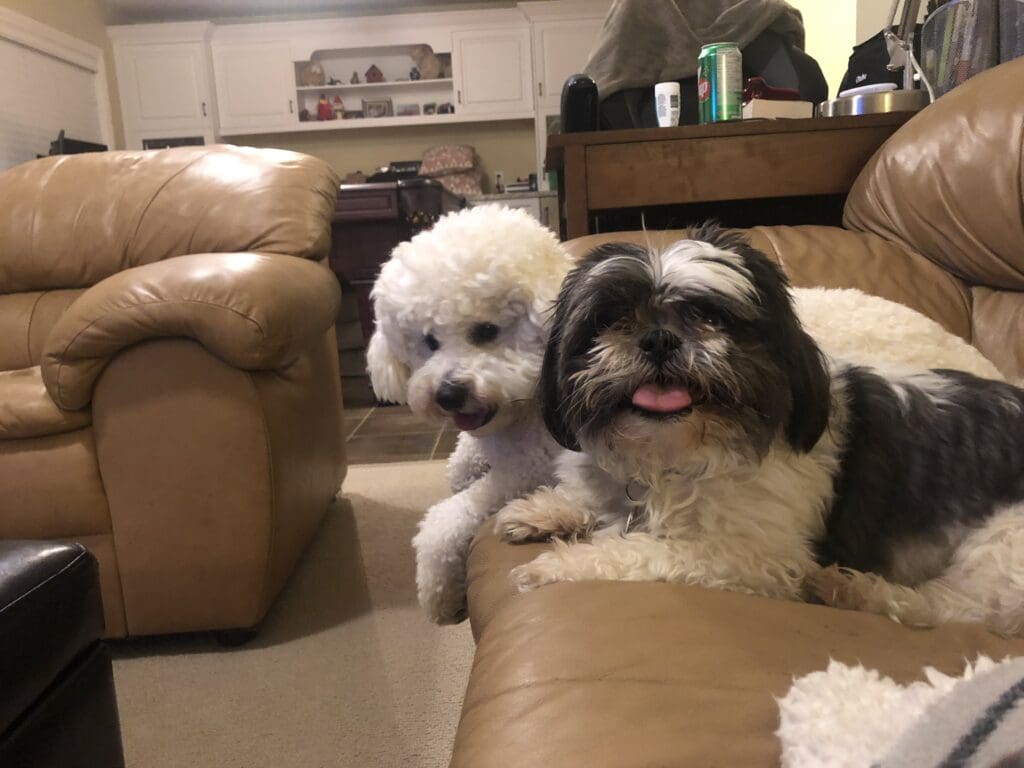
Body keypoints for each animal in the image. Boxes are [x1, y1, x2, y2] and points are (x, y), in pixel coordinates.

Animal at [368, 205, 577, 626]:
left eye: (486, 330)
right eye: (430, 341)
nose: (448, 395)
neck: (521, 413)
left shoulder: (528, 469)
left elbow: (445, 520)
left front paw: (440, 594)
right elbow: (458, 468)